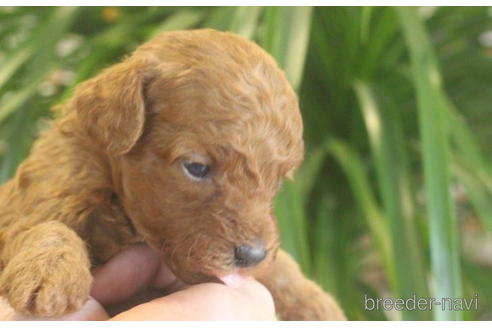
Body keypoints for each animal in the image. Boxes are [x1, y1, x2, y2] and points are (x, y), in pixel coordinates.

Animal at [0, 28, 346, 320]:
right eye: (196, 168)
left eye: (277, 180)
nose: (252, 255)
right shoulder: (46, 189)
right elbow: (46, 225)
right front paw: (50, 270)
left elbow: (283, 265)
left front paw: (317, 302)